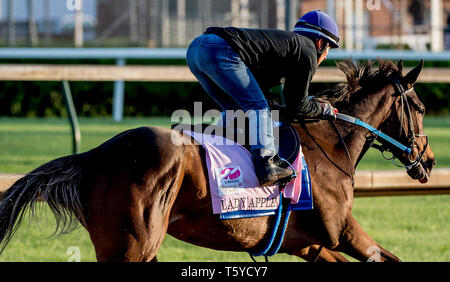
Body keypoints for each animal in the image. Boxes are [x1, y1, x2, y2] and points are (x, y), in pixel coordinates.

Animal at [0, 59, 436, 262]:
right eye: (419, 106)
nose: (429, 161)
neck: (330, 144)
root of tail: (93, 155)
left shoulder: (307, 244)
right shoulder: (341, 231)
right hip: (130, 247)